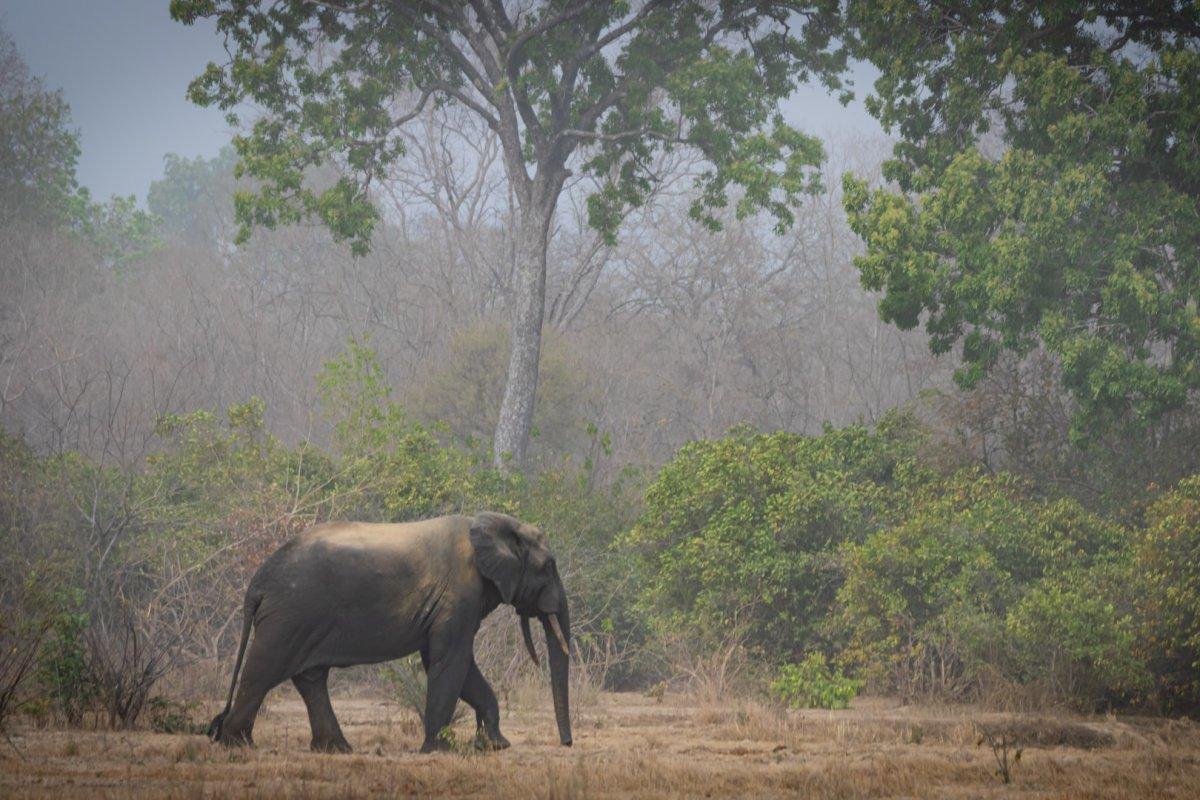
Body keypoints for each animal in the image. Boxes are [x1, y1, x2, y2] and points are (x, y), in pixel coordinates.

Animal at [206, 515, 571, 753]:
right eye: (549, 566)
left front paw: (495, 746)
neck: (492, 523)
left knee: (309, 678)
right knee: (263, 670)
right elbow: (449, 661)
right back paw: (236, 745)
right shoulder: (459, 595)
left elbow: (454, 664)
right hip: (289, 615)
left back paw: (336, 749)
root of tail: (258, 582)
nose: (567, 744)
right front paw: (438, 750)